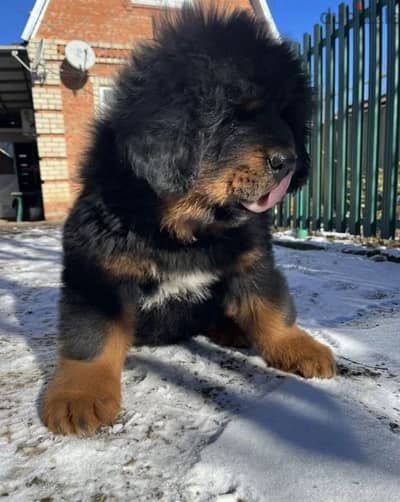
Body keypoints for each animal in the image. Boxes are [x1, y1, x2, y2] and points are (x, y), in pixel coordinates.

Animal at [41, 3, 334, 436]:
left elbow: (272, 306)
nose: (290, 161)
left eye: (288, 116)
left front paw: (298, 346)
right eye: (234, 114)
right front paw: (80, 395)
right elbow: (90, 336)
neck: (184, 230)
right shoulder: (97, 274)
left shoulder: (251, 260)